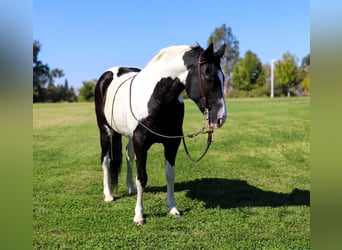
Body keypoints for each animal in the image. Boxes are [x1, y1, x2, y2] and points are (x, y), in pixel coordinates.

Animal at [94, 43, 227, 225]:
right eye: (208, 76)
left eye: (223, 77)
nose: (221, 118)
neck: (157, 99)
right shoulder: (141, 142)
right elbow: (142, 178)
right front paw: (139, 215)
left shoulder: (172, 143)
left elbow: (170, 175)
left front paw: (172, 208)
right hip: (105, 130)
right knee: (106, 159)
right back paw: (108, 195)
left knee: (129, 156)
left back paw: (130, 188)